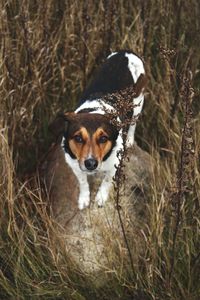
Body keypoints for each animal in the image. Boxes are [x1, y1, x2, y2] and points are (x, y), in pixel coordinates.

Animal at [50, 50, 146, 210]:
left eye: (103, 138)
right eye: (78, 138)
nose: (90, 164)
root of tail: (126, 52)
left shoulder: (114, 164)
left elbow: (106, 181)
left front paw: (101, 197)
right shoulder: (74, 165)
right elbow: (83, 182)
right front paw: (84, 198)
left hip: (138, 102)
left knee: (133, 123)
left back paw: (129, 140)